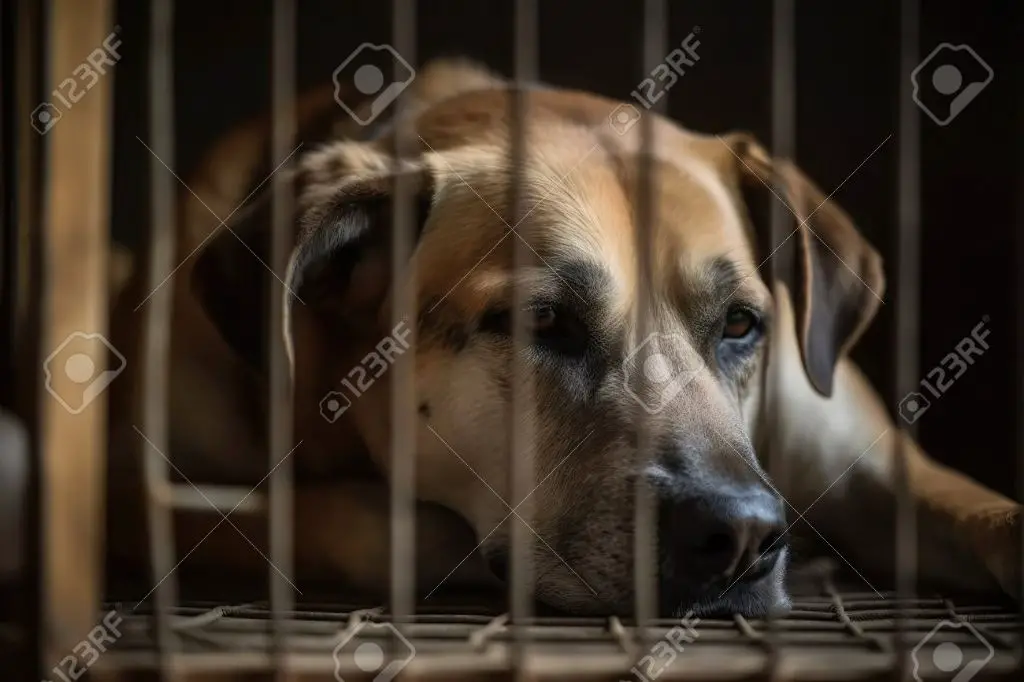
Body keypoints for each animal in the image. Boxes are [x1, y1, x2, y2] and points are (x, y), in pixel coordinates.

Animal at [108, 59, 1019, 614]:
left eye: (740, 324)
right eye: (545, 322)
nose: (743, 537)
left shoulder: (875, 465)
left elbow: (990, 512)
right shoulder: (144, 498)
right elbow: (372, 527)